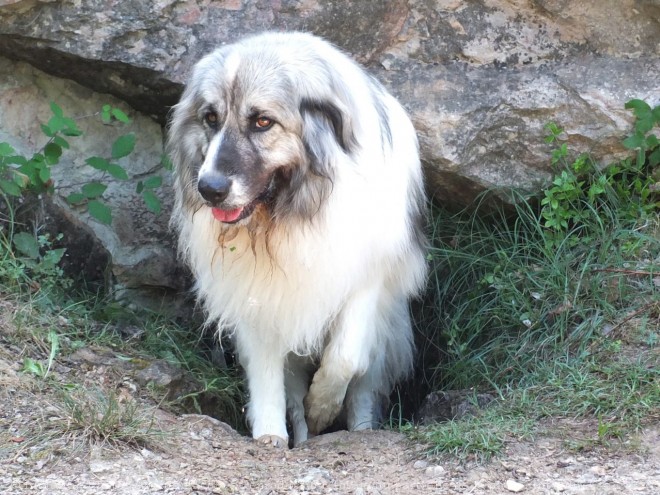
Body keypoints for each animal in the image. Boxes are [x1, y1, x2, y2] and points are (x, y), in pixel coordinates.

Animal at [169, 32, 428, 450]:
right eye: (210, 118)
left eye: (262, 121)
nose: (209, 189)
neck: (291, 216)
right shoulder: (255, 295)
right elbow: (267, 376)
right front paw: (270, 435)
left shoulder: (367, 279)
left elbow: (345, 358)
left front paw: (323, 408)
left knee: (364, 386)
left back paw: (360, 430)